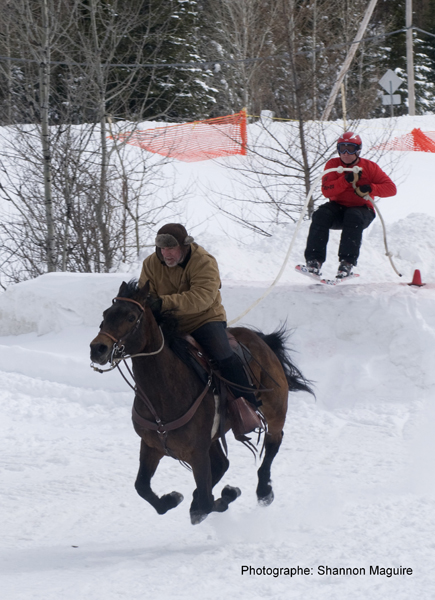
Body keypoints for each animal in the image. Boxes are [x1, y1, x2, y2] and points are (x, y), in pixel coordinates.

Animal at [89, 278, 314, 524]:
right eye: (106, 314)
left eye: (130, 317)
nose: (97, 348)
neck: (164, 394)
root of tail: (261, 339)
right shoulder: (151, 445)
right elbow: (142, 487)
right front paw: (172, 499)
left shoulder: (197, 452)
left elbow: (205, 504)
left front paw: (226, 494)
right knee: (222, 464)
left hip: (275, 409)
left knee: (273, 441)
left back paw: (263, 490)